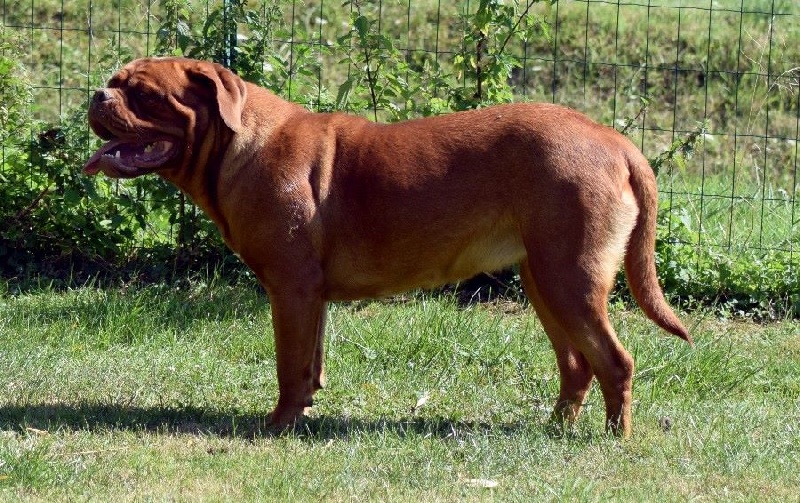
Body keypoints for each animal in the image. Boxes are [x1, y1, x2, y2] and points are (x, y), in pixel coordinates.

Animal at [84, 58, 692, 438]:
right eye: (115, 81)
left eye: (143, 93)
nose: (97, 93)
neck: (236, 146)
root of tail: (615, 140)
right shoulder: (310, 296)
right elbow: (310, 362)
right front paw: (305, 411)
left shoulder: (291, 287)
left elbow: (288, 364)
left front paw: (278, 425)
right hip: (544, 281)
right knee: (577, 364)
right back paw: (556, 427)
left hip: (571, 279)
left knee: (615, 361)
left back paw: (611, 440)